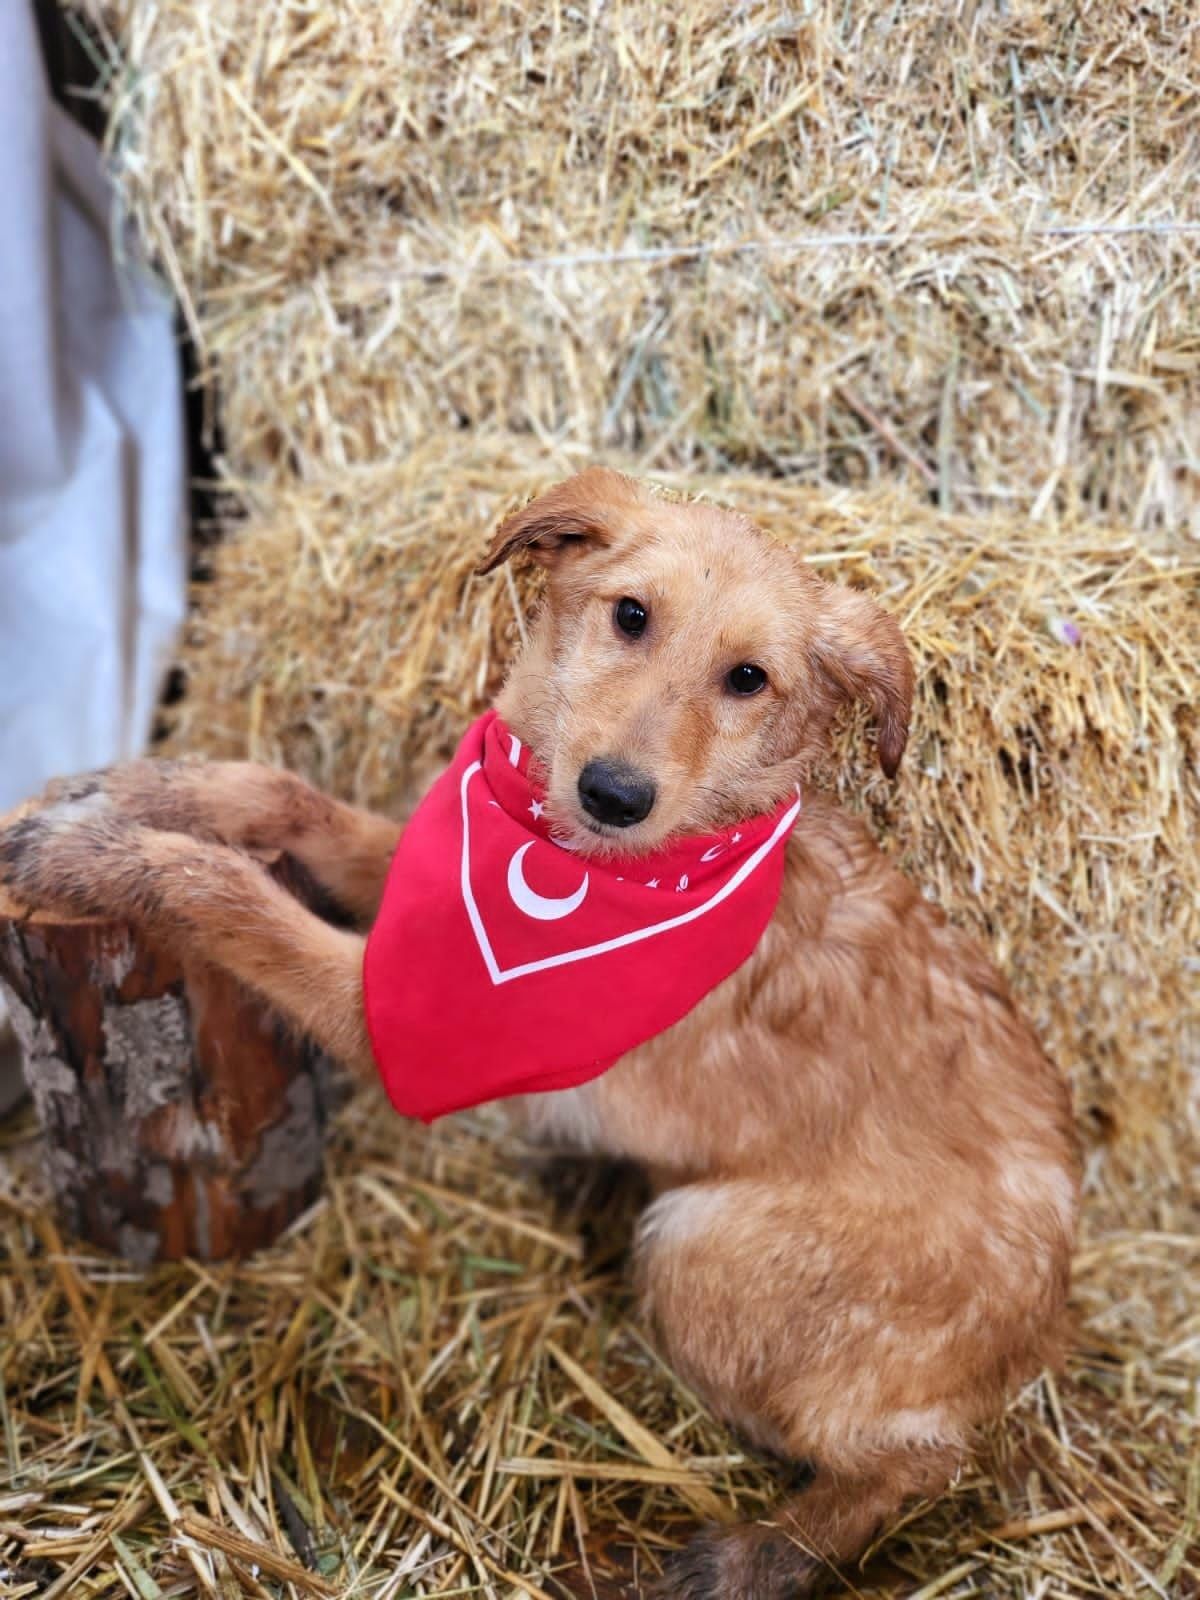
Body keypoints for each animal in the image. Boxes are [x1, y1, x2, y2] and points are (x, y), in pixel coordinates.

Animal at [0, 467, 1081, 1593]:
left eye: (750, 679)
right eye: (630, 615)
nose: (613, 794)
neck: (568, 863)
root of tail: (1048, 1321)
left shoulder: (390, 1013)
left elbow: (229, 893)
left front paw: (83, 854)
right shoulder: (411, 890)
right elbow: (286, 796)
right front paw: (130, 789)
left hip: (700, 1248)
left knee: (916, 1460)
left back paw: (762, 1550)